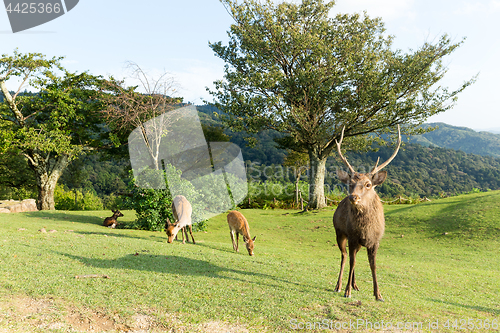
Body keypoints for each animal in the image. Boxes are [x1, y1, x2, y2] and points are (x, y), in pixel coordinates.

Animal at [332, 124, 402, 300]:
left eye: (368, 184)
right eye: (350, 183)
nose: (353, 197)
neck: (366, 230)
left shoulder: (376, 241)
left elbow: (373, 265)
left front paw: (378, 294)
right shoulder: (352, 236)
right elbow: (352, 262)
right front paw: (347, 292)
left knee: (353, 257)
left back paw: (355, 285)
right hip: (339, 232)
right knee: (344, 256)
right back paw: (339, 286)